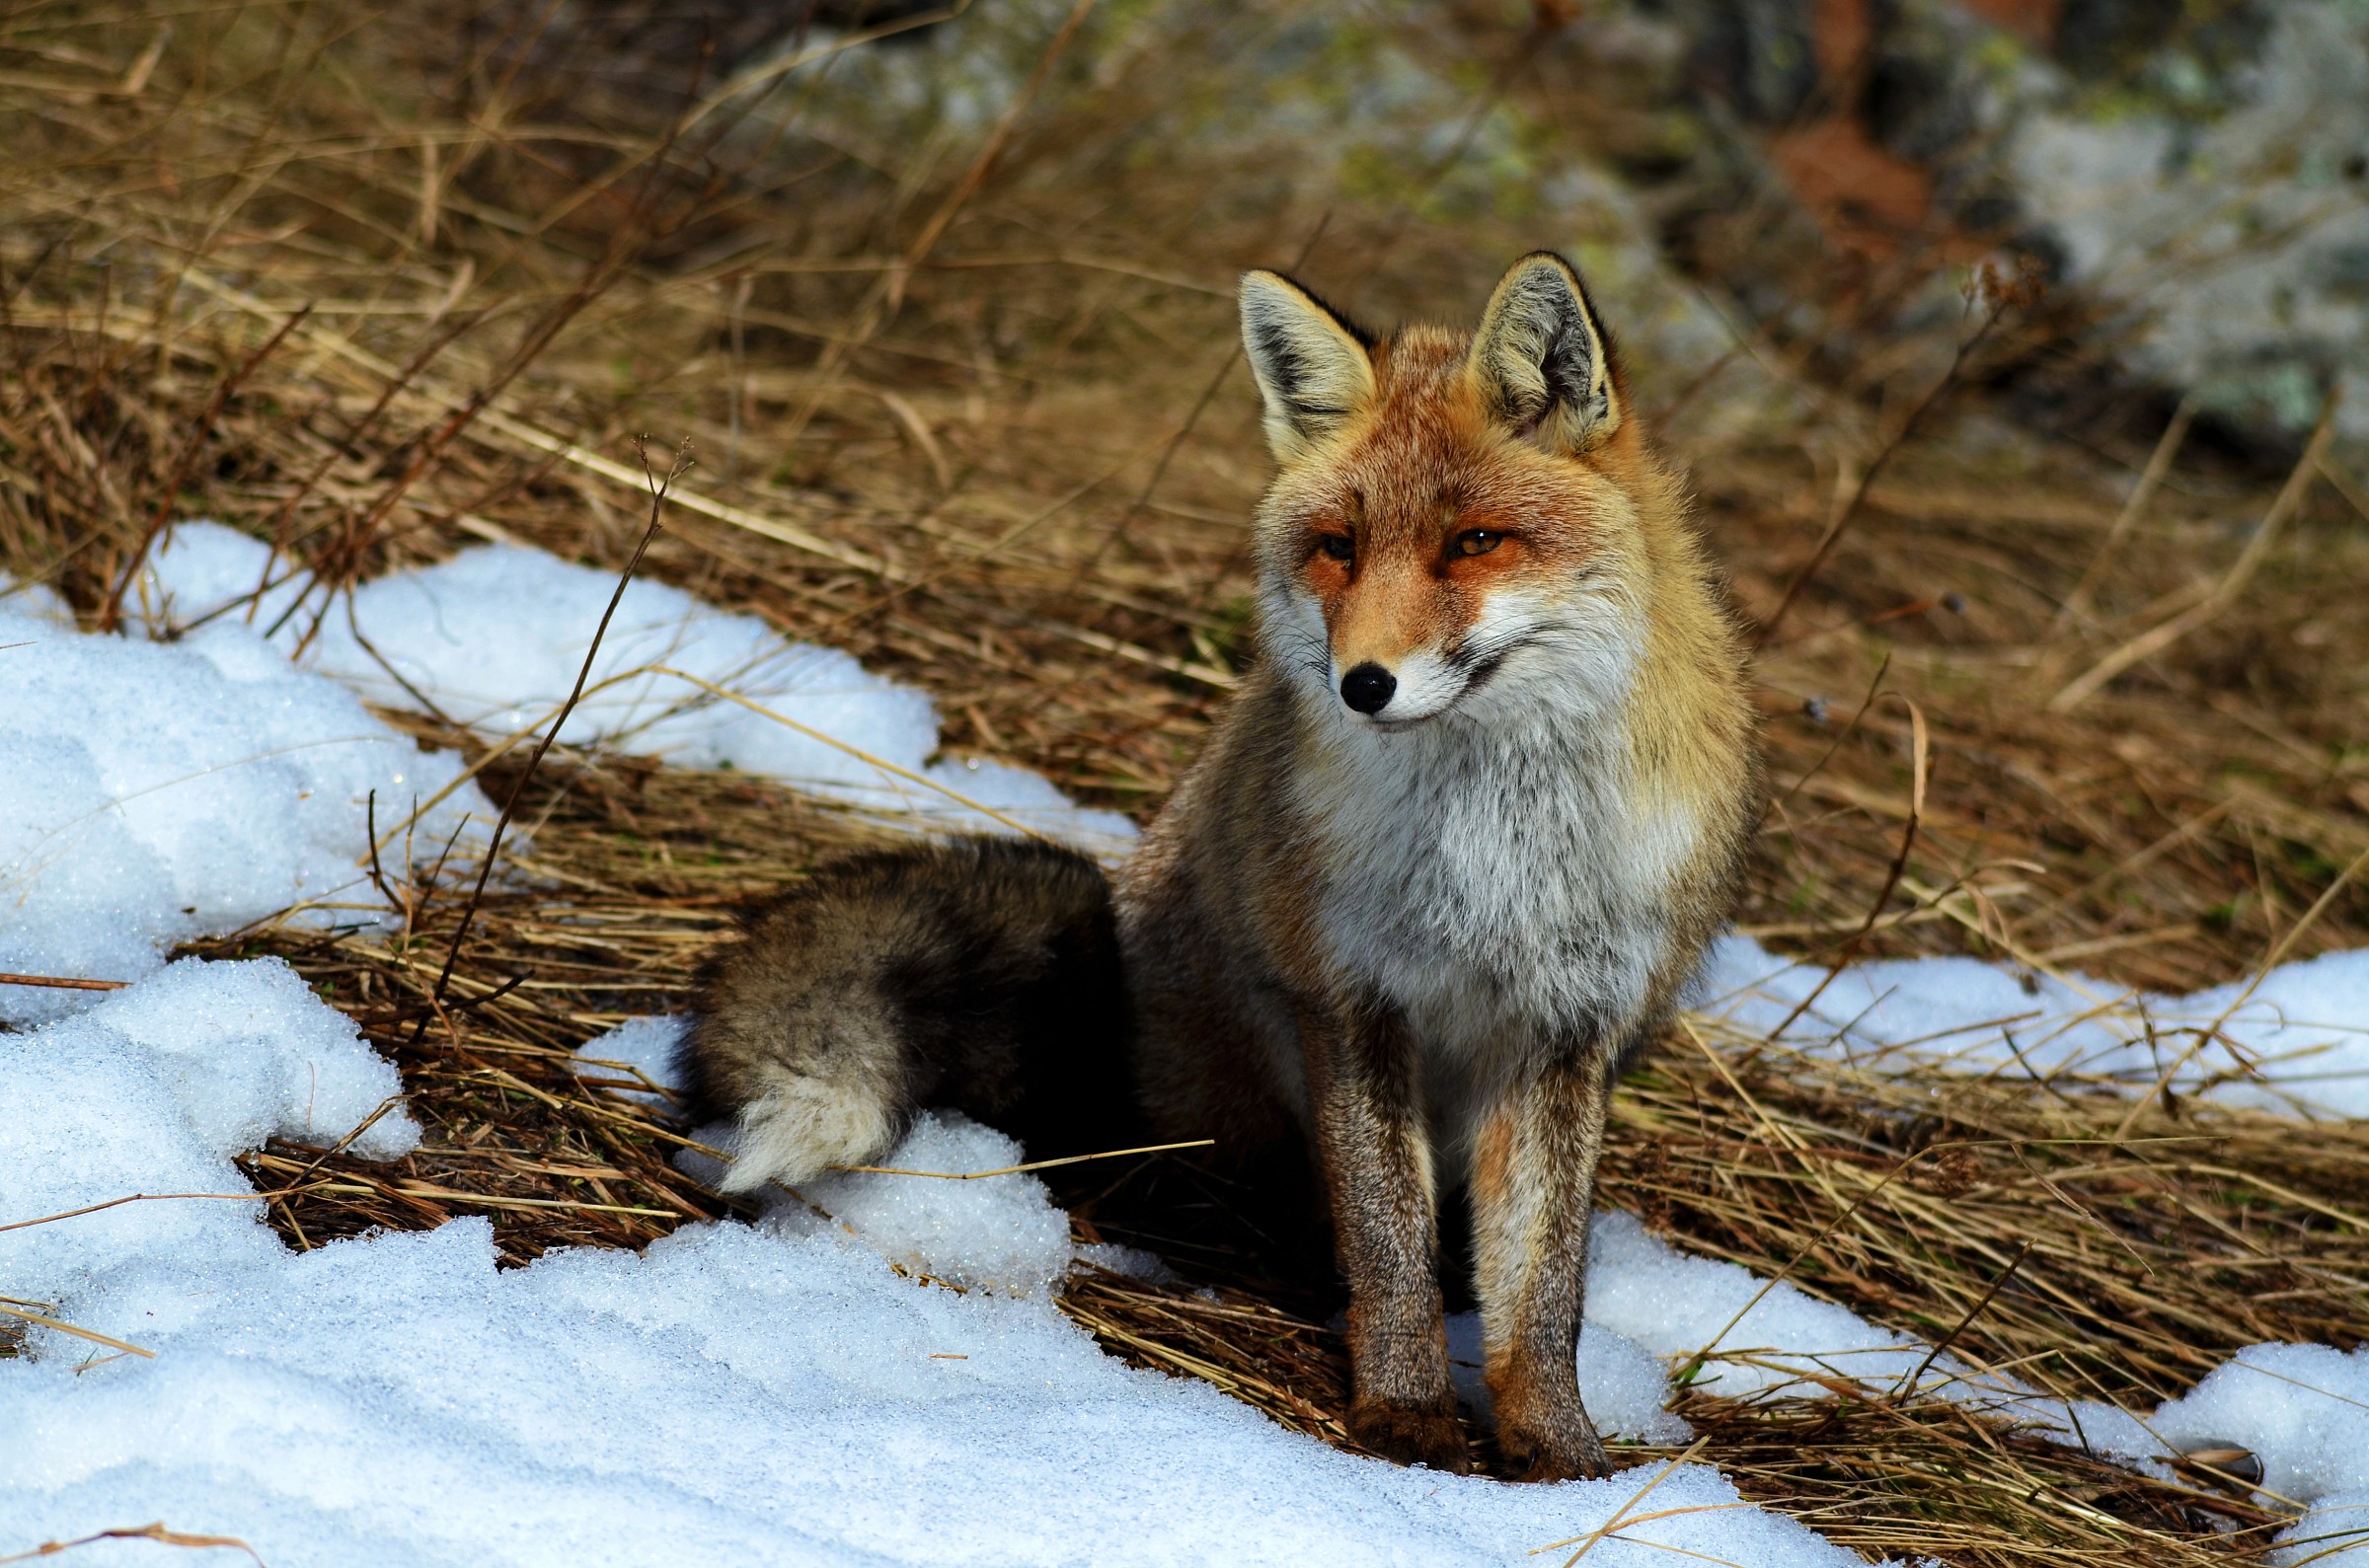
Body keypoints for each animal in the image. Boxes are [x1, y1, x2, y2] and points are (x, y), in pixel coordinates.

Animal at [681, 251, 1758, 1483]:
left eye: (1475, 542)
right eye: (1339, 547)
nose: (1363, 684)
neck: (1494, 853)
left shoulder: (1565, 1029)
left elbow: (1544, 1287)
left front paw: (1560, 1452)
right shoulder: (1350, 998)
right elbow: (1389, 1245)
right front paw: (1406, 1412)